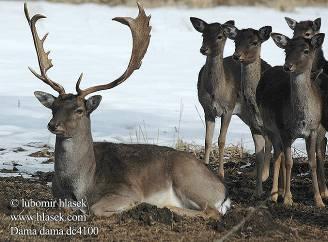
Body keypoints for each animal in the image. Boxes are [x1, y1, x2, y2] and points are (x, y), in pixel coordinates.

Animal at [25, 2, 231, 217]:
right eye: (53, 107)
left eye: (79, 110)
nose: (53, 125)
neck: (82, 186)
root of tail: (224, 191)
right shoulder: (58, 197)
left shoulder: (126, 190)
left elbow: (96, 209)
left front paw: (132, 206)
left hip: (187, 178)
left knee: (212, 212)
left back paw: (165, 207)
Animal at [190, 17, 272, 191]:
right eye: (203, 34)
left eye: (220, 36)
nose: (203, 49)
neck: (216, 91)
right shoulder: (207, 110)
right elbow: (207, 140)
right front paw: (205, 166)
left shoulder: (228, 108)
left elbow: (221, 140)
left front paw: (221, 174)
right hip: (246, 114)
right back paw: (256, 174)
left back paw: (263, 176)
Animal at [256, 31, 326, 206]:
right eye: (285, 50)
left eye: (306, 50)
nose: (287, 66)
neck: (301, 119)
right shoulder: (284, 130)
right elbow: (289, 163)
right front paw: (288, 199)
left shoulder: (313, 130)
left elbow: (312, 162)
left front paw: (318, 200)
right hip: (270, 127)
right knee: (277, 156)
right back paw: (274, 194)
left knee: (279, 154)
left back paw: (279, 192)